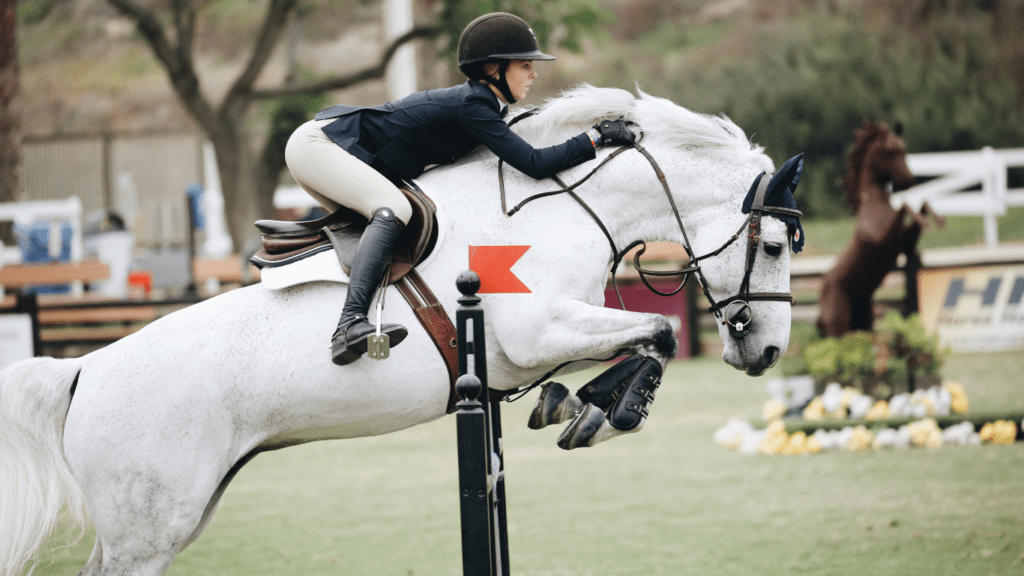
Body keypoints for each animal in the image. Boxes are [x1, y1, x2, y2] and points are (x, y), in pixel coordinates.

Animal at [0, 85, 798, 573]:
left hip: (177, 512)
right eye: (776, 245)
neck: (562, 208)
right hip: (147, 528)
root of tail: (83, 371)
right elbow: (658, 333)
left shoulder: (539, 344)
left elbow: (643, 338)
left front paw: (575, 405)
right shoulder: (533, 334)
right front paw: (603, 410)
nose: (767, 351)